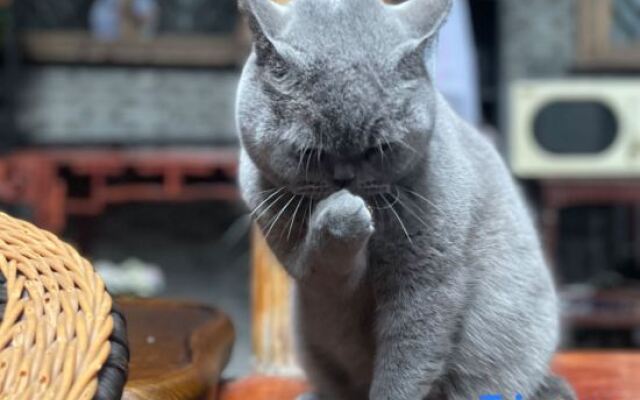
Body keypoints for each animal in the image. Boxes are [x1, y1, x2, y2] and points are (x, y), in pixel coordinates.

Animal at [235, 0, 576, 400]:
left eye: (380, 148)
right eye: (309, 152)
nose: (344, 178)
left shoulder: (427, 279)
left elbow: (407, 363)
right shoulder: (294, 251)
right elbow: (325, 267)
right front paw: (343, 216)